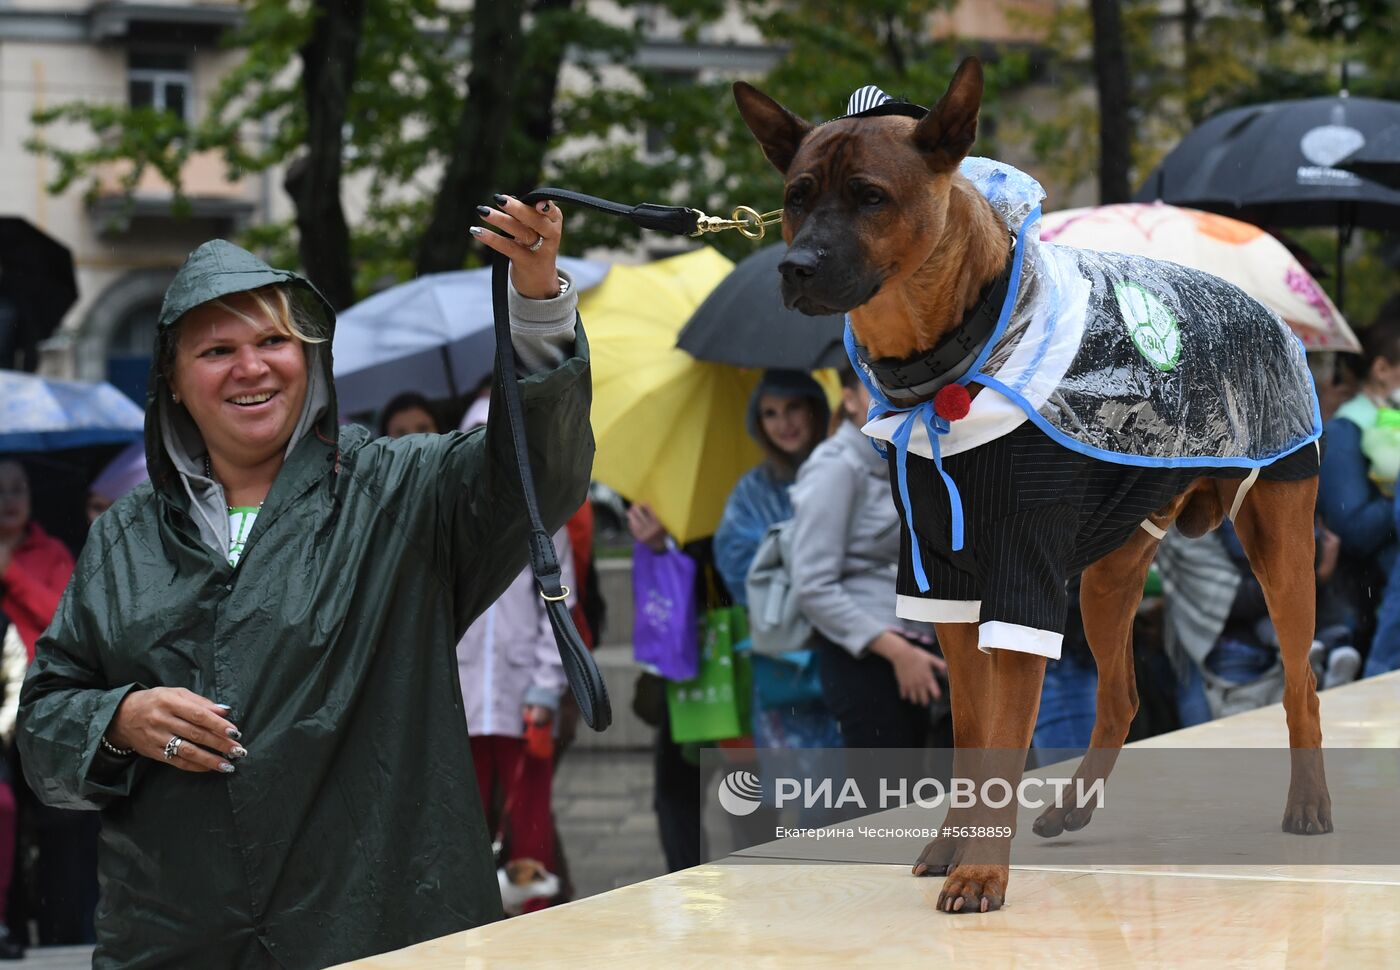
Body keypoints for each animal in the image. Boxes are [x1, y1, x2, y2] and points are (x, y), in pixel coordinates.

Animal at [733, 56, 1332, 912]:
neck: (955, 353)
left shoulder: (1022, 577)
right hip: (1109, 576)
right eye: (797, 195)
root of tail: (1272, 318)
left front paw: (982, 867)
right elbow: (972, 740)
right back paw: (1074, 805)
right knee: (1120, 696)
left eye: (871, 196)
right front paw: (954, 845)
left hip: (1279, 541)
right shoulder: (946, 584)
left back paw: (1309, 802)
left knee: (1300, 678)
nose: (796, 267)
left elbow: (1007, 741)